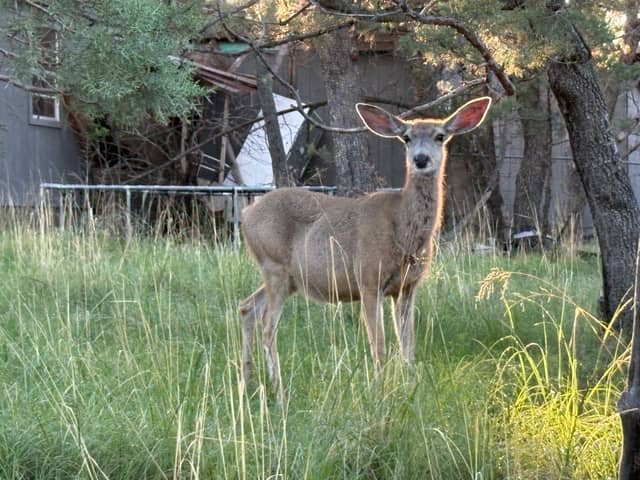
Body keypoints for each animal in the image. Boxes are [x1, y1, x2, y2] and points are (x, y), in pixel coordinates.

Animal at [238, 96, 492, 401]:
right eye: (406, 137)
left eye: (440, 136)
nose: (420, 159)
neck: (403, 233)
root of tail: (246, 214)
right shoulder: (369, 278)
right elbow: (379, 344)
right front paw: (380, 389)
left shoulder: (407, 287)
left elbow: (407, 344)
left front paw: (409, 385)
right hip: (274, 264)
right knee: (267, 326)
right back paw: (279, 391)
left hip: (287, 278)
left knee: (246, 307)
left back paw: (247, 382)